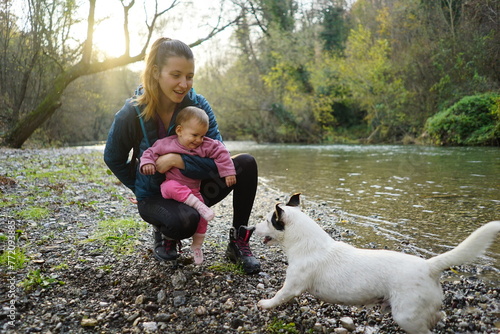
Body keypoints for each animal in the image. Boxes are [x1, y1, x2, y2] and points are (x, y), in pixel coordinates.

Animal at [256, 193, 498, 334]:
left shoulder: (292, 286)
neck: (307, 243)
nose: (251, 228)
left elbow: (279, 296)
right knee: (436, 316)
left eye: (267, 221)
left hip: (406, 317)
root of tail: (429, 266)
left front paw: (266, 304)